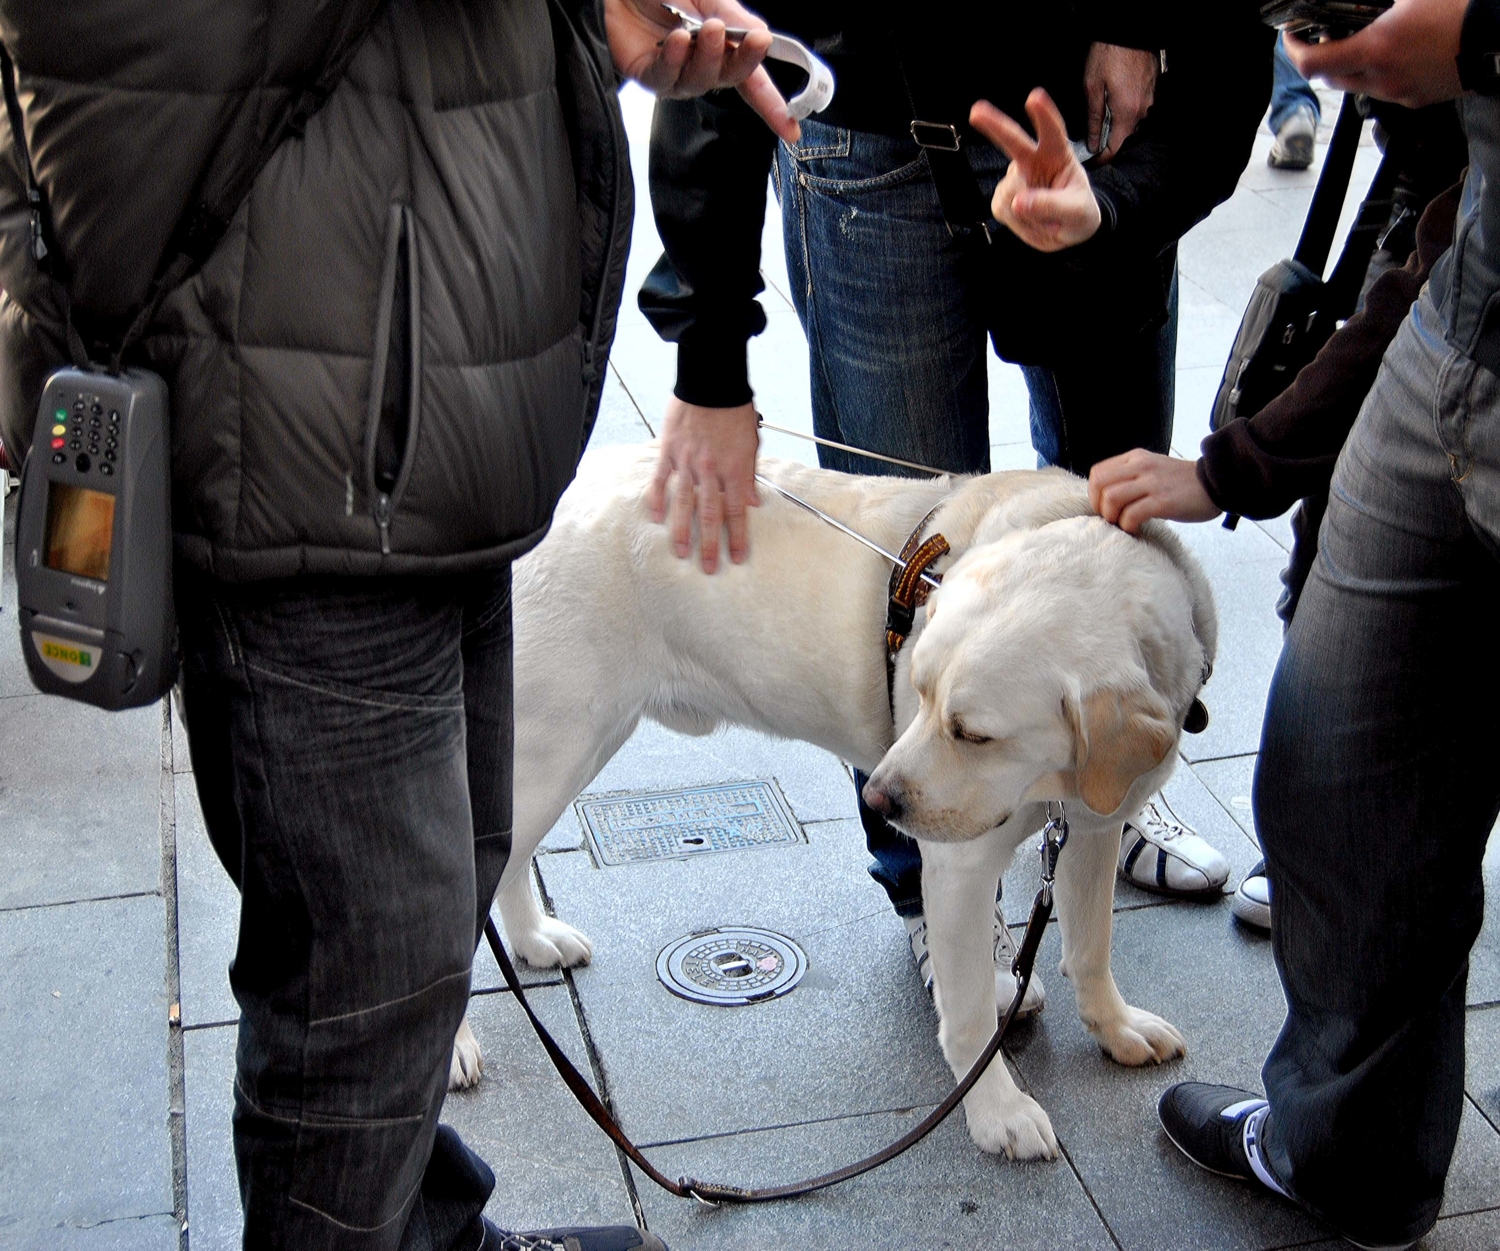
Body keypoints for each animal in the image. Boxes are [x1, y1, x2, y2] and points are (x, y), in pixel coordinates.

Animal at [450, 444, 1212, 1158]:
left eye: (973, 733)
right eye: (921, 694)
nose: (878, 795)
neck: (1057, 781)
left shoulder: (1096, 824)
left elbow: (1091, 945)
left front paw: (1116, 1027)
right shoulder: (959, 866)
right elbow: (968, 1013)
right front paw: (997, 1111)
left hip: (570, 747)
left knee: (508, 857)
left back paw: (532, 938)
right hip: (555, 742)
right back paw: (457, 1038)